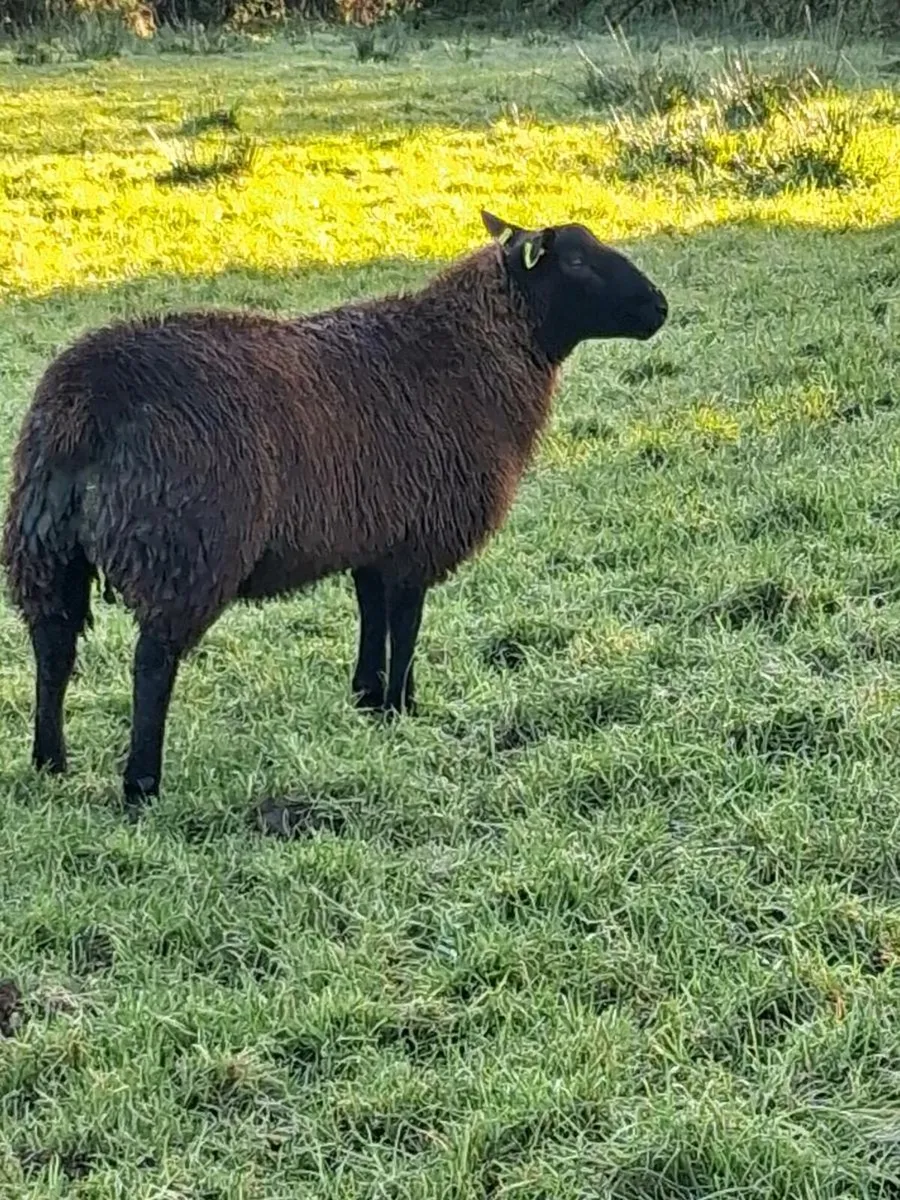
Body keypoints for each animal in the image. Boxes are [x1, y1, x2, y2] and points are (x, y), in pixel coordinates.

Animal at [2, 209, 668, 806]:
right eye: (576, 261)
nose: (659, 307)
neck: (471, 353)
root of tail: (87, 405)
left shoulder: (374, 534)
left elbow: (372, 616)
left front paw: (368, 700)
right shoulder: (417, 536)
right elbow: (405, 623)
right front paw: (402, 706)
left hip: (45, 546)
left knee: (53, 651)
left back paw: (49, 763)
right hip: (182, 548)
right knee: (151, 665)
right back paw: (141, 786)